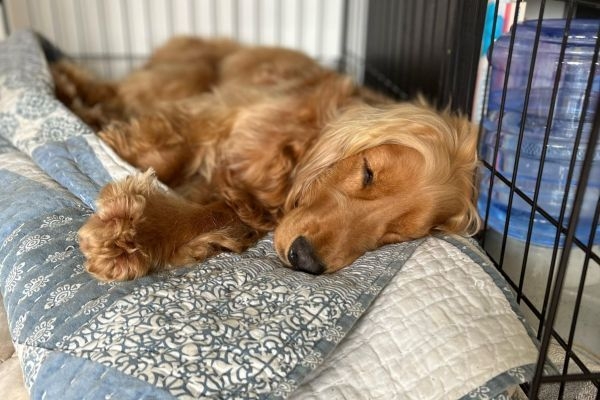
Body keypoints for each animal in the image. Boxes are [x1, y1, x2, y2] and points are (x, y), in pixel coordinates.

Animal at [52, 36, 482, 282]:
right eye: (368, 172)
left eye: (395, 235)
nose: (306, 260)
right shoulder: (213, 118)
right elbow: (167, 150)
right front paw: (128, 230)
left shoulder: (247, 208)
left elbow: (213, 213)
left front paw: (142, 236)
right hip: (179, 76)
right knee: (114, 91)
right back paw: (71, 88)